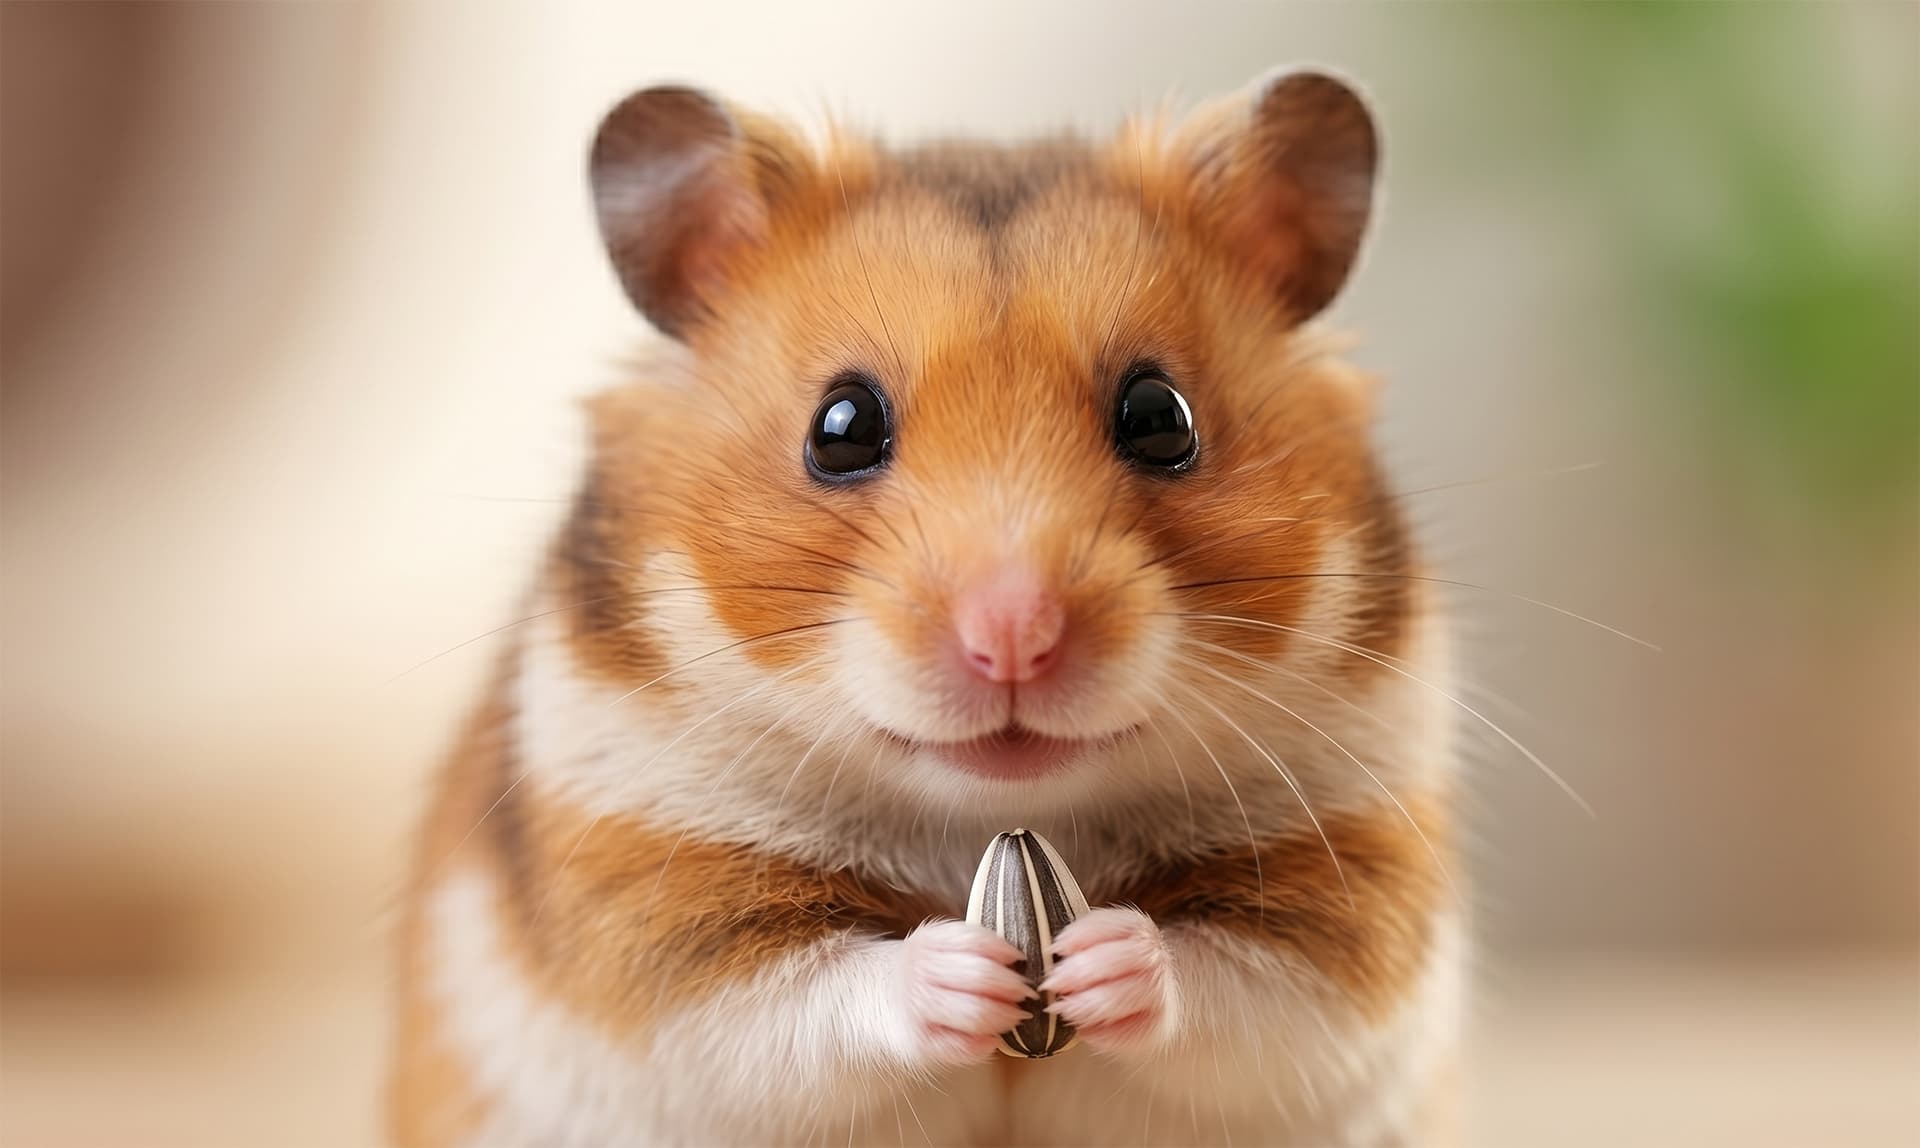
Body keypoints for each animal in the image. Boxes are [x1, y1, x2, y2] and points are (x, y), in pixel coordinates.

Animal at [389, 70, 1462, 1147]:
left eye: (1163, 418)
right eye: (841, 426)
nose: (1015, 638)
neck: (997, 818)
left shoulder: (1354, 882)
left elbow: (1249, 992)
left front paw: (1105, 957)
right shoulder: (653, 901)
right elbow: (798, 1004)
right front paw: (961, 971)